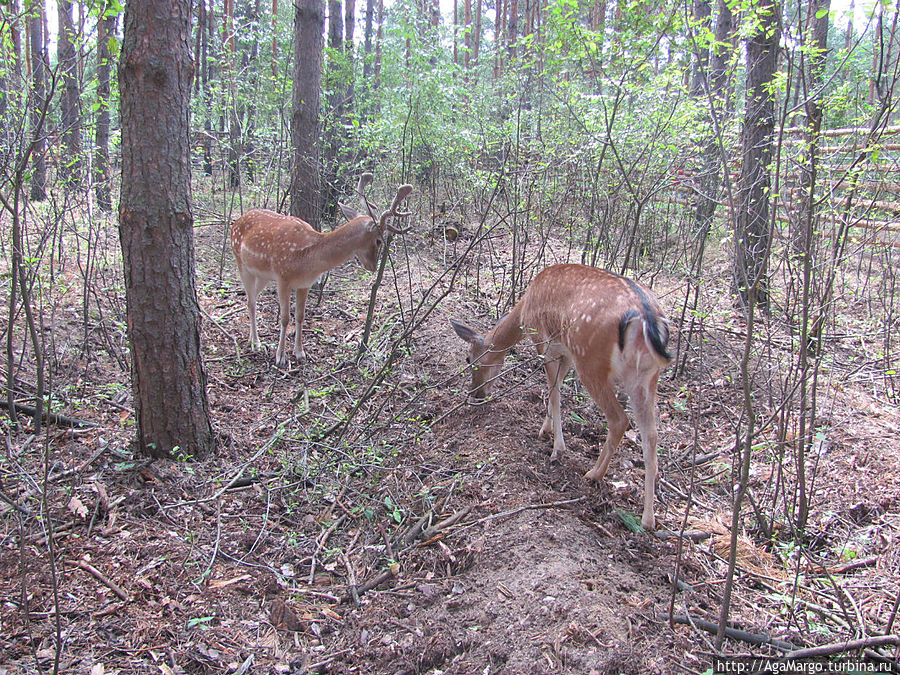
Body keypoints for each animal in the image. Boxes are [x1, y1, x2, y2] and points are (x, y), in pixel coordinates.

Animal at [232, 174, 414, 364]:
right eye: (378, 240)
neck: (307, 260)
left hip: (262, 276)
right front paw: (280, 357)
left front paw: (300, 353)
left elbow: (300, 315)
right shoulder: (283, 278)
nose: (373, 266)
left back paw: (253, 340)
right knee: (251, 301)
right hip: (241, 263)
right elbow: (284, 318)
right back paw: (256, 344)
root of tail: (236, 221)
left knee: (252, 299)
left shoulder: (304, 284)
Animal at [450, 262, 668, 528]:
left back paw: (594, 474)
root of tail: (646, 319)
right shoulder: (565, 353)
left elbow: (553, 391)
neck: (524, 311)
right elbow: (557, 385)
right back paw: (648, 519)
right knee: (651, 435)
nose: (476, 394)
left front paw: (557, 447)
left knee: (619, 420)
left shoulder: (544, 341)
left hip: (590, 360)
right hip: (646, 377)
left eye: (469, 359)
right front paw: (545, 430)